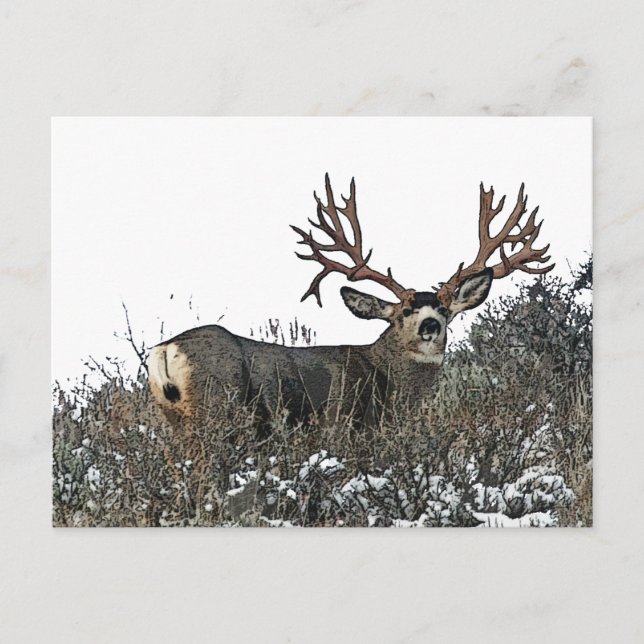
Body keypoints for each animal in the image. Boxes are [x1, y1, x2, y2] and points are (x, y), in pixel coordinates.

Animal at [148, 174, 553, 432]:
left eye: (444, 310)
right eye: (403, 312)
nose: (430, 326)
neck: (387, 381)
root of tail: (167, 349)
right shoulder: (343, 425)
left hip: (177, 422)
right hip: (217, 407)